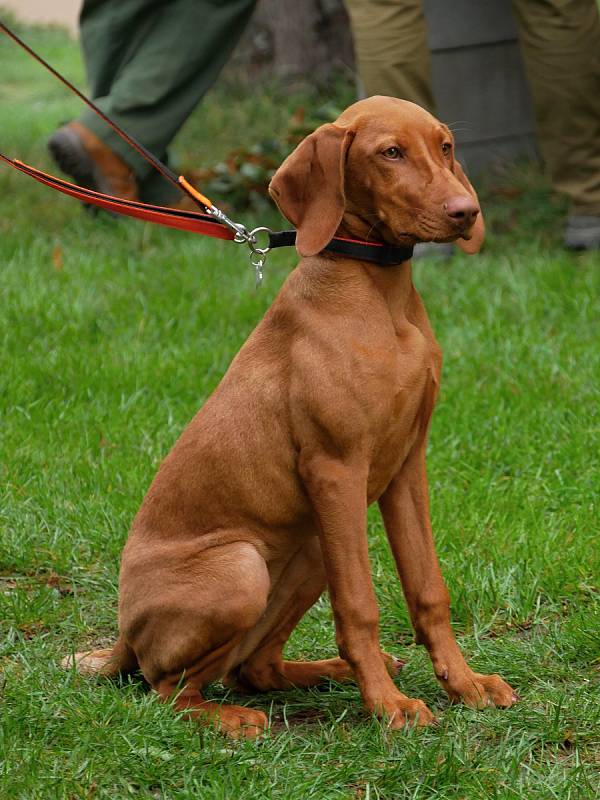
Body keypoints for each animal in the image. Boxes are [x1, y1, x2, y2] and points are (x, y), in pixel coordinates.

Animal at [64, 97, 516, 736]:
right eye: (390, 152)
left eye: (445, 146)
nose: (466, 212)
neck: (381, 295)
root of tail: (124, 638)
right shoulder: (336, 468)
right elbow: (360, 606)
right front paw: (388, 707)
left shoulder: (406, 466)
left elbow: (429, 588)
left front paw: (464, 683)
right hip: (246, 567)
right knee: (165, 688)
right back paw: (235, 718)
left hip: (311, 549)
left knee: (252, 667)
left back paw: (330, 672)